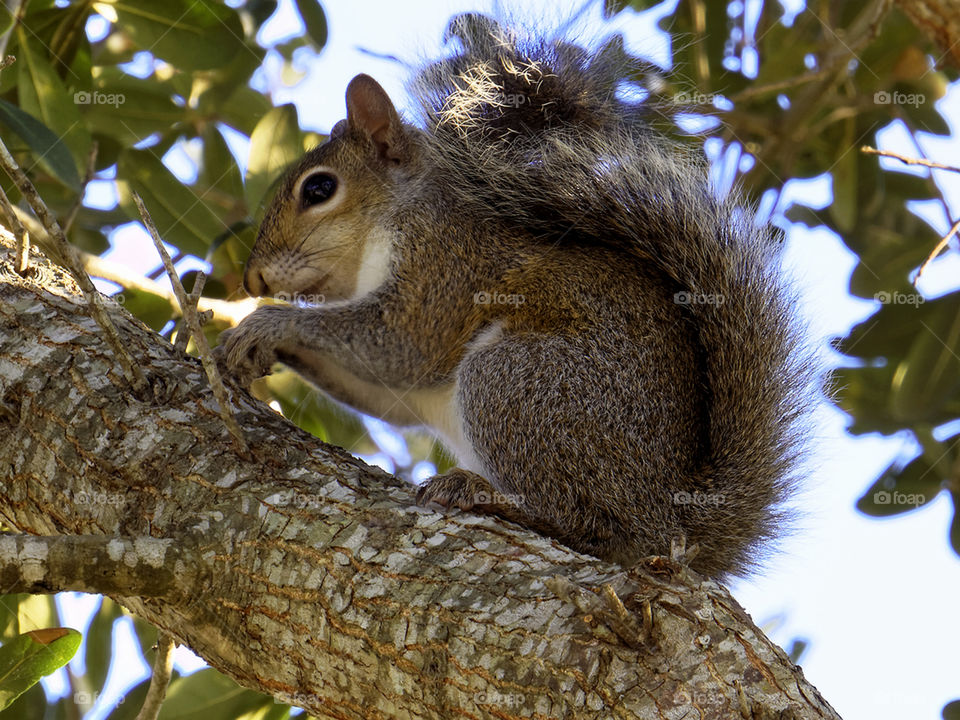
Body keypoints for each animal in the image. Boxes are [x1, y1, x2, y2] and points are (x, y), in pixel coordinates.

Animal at [218, 15, 816, 580]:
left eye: (319, 189)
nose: (253, 282)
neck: (396, 216)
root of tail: (672, 514)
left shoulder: (445, 269)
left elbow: (401, 344)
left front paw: (268, 324)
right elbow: (389, 393)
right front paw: (246, 348)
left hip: (518, 386)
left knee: (595, 528)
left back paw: (491, 498)